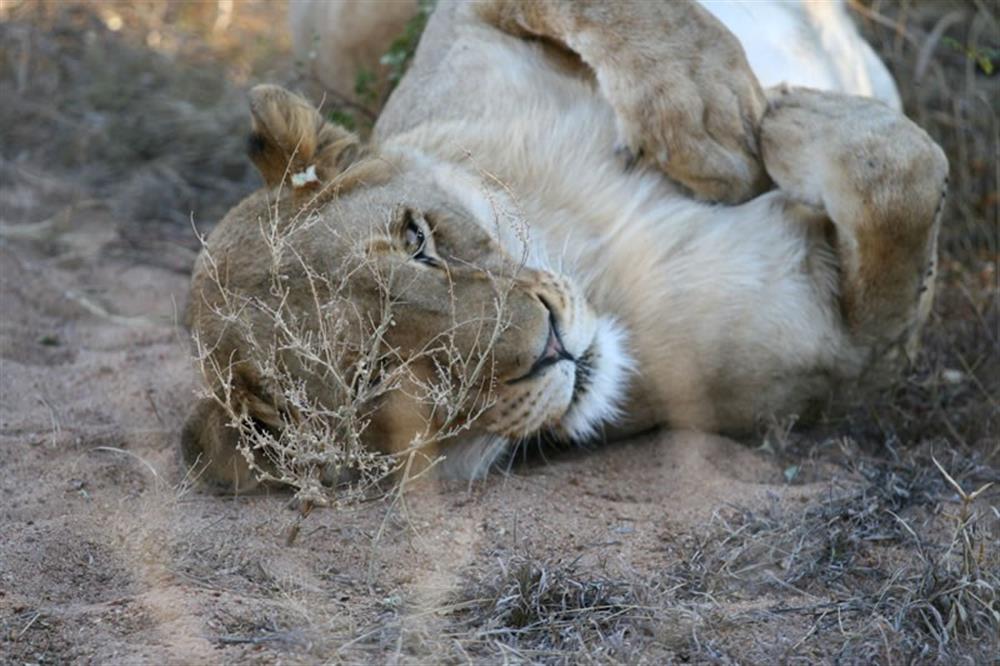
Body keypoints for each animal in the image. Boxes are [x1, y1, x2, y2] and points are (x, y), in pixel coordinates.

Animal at [180, 0, 944, 488]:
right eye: (374, 377)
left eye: (417, 236)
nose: (550, 343)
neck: (579, 241)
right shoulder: (835, 366)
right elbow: (903, 191)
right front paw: (799, 120)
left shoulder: (453, 39)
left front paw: (713, 111)